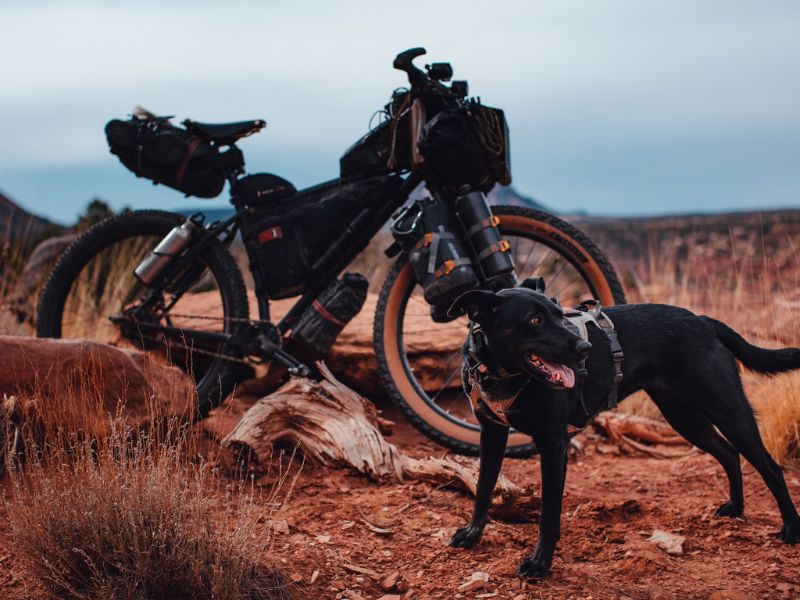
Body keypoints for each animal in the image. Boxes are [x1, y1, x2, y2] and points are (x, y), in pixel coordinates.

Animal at [446, 278, 800, 580]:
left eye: (559, 315)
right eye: (535, 320)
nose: (584, 349)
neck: (502, 374)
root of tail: (703, 320)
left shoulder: (553, 443)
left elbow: (548, 513)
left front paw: (539, 564)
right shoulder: (492, 434)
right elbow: (483, 488)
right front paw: (472, 534)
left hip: (727, 409)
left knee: (770, 467)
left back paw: (791, 528)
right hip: (684, 417)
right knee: (728, 453)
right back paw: (736, 508)